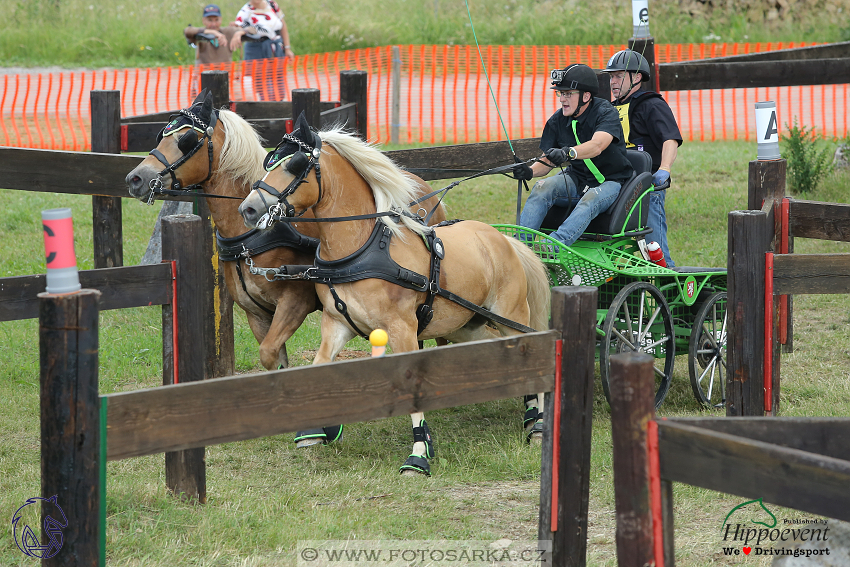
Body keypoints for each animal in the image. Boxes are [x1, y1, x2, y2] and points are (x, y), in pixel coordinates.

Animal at [123, 94, 448, 444]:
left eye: (186, 140)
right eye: (162, 134)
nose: (135, 178)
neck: (252, 236)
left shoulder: (295, 302)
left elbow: (269, 351)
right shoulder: (256, 313)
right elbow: (273, 355)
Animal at [237, 114, 548, 474]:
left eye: (295, 166)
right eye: (270, 162)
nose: (247, 209)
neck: (362, 250)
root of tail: (504, 239)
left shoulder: (403, 329)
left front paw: (419, 453)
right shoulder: (335, 324)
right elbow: (321, 365)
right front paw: (315, 431)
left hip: (511, 316)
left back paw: (538, 424)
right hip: (467, 325)